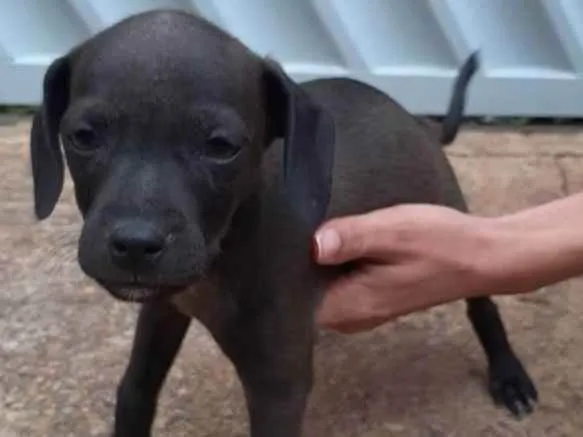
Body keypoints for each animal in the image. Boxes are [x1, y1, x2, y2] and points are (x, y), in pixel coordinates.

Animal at [27, 8, 540, 434]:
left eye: (220, 146)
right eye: (83, 136)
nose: (135, 244)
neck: (227, 247)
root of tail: (420, 125)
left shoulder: (277, 387)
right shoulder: (163, 310)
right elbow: (134, 392)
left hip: (451, 220)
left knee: (482, 302)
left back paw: (509, 375)